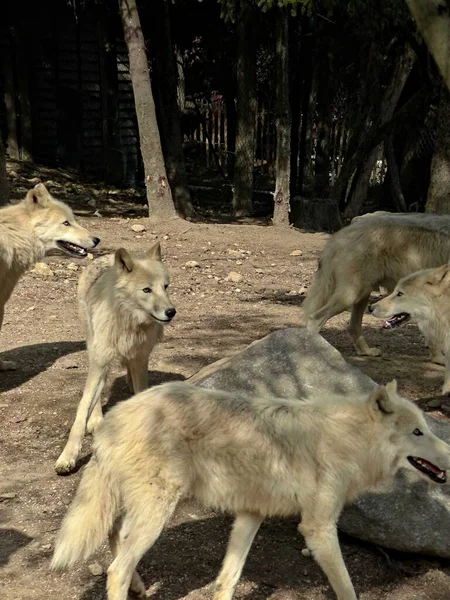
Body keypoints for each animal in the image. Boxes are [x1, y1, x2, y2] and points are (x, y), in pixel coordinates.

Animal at [51, 380, 448, 600]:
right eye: (417, 432)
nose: (449, 451)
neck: (348, 440)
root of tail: (112, 417)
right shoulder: (317, 529)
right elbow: (348, 589)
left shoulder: (251, 514)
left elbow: (228, 579)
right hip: (157, 513)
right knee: (115, 568)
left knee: (115, 539)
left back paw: (138, 586)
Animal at [54, 243, 176, 474]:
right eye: (147, 290)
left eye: (165, 286)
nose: (171, 311)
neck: (128, 322)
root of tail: (107, 257)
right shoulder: (100, 363)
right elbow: (82, 411)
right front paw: (67, 457)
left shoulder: (140, 360)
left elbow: (141, 392)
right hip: (93, 347)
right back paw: (96, 419)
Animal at [298, 212, 450, 356]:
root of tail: (338, 236)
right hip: (351, 296)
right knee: (315, 318)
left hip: (362, 294)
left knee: (352, 327)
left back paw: (366, 351)